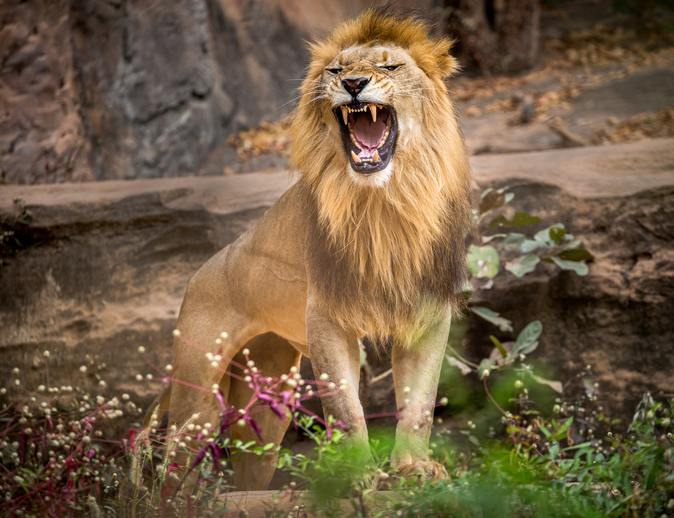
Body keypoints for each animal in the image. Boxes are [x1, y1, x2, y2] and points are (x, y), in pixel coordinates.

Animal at [144, 8, 472, 490]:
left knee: (249, 467)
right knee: (171, 469)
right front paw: (357, 475)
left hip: (268, 405)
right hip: (198, 398)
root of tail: (199, 274)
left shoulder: (427, 311)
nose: (353, 83)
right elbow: (346, 408)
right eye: (335, 70)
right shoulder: (327, 316)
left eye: (391, 67)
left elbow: (420, 404)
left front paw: (414, 468)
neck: (385, 202)